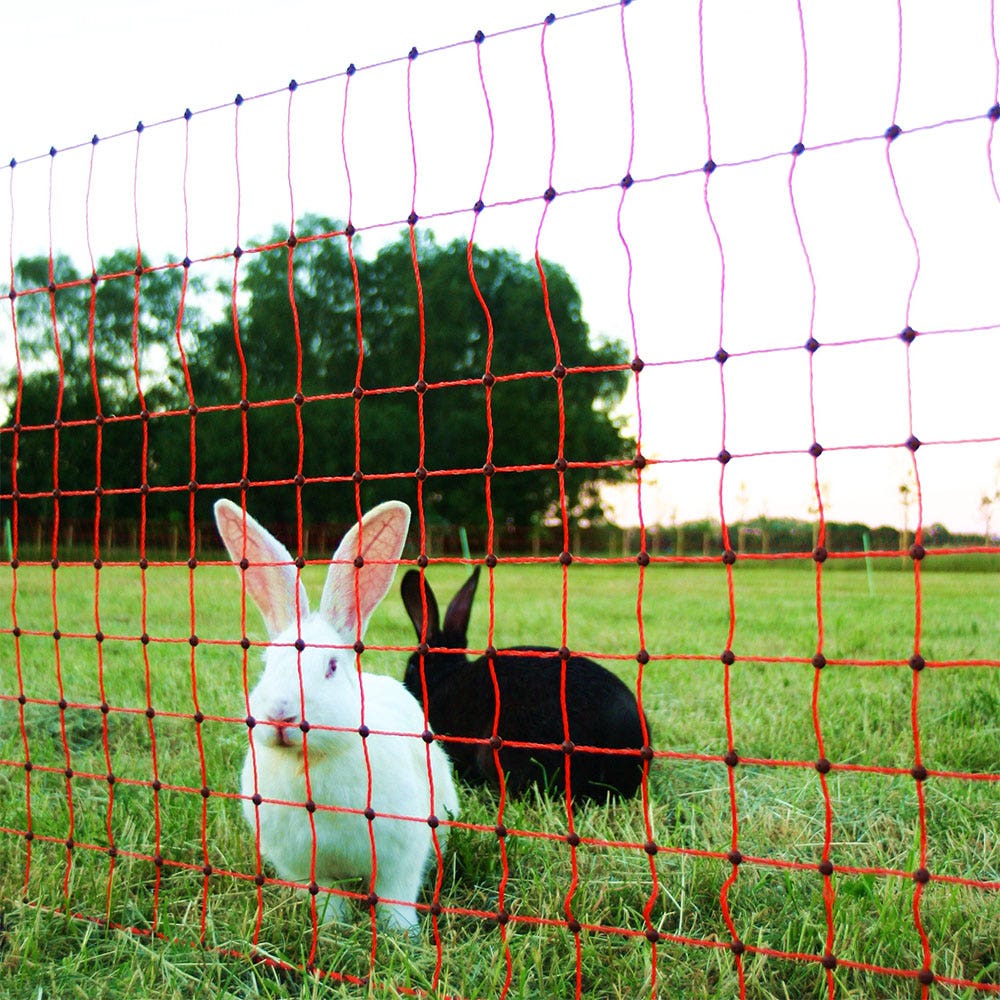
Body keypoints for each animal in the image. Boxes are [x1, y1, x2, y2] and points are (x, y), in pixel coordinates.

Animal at [215, 504, 460, 932]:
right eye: (267, 665)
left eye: (330, 666)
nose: (281, 715)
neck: (310, 762)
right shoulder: (307, 867)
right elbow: (328, 899)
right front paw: (330, 930)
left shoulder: (401, 855)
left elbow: (396, 897)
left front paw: (403, 934)